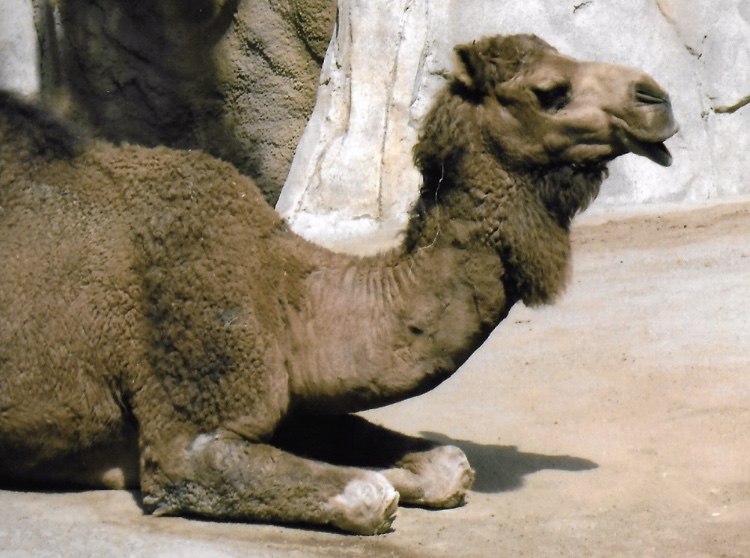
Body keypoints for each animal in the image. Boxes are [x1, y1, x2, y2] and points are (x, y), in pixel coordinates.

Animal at [0, 34, 677, 534]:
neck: (288, 291)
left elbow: (446, 465)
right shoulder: (185, 429)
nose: (657, 97)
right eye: (549, 91)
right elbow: (367, 495)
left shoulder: (292, 400)